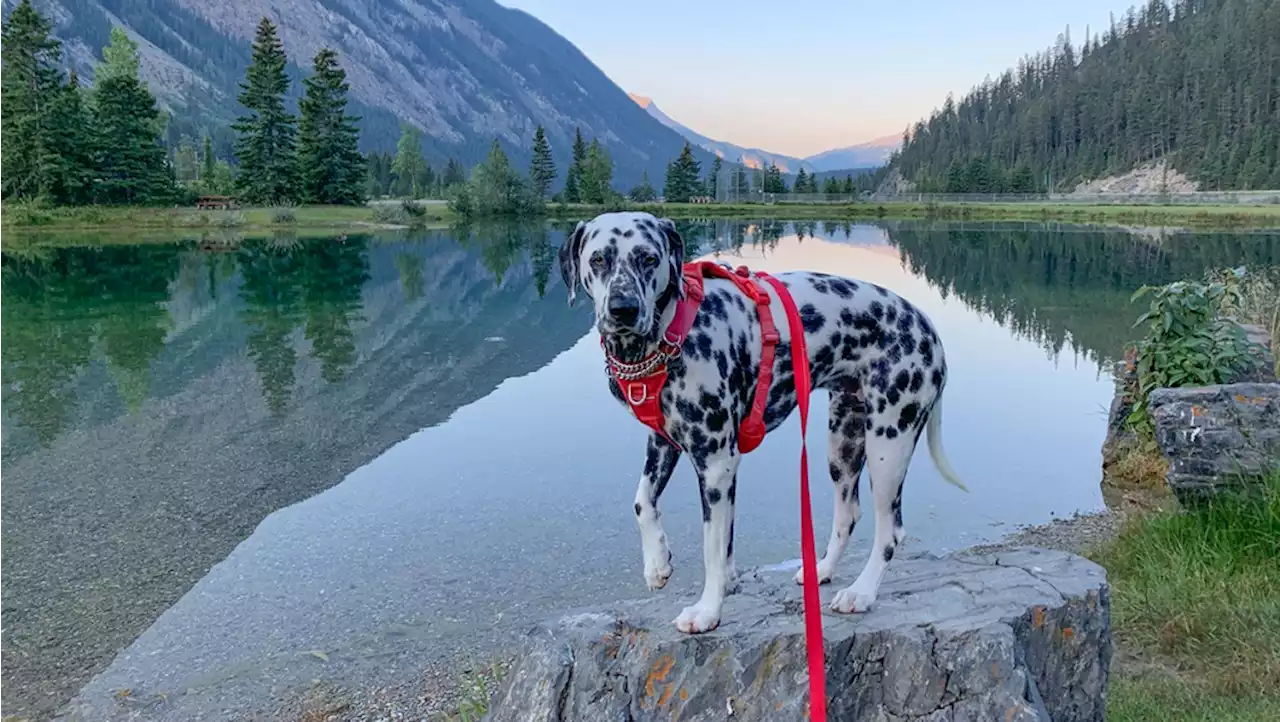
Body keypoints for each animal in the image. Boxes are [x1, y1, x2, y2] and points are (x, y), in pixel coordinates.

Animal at [555, 208, 962, 632]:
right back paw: (821, 571)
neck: (673, 333)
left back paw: (861, 593)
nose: (623, 309)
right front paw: (658, 563)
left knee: (890, 531)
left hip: (888, 445)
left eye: (649, 258)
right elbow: (644, 502)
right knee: (848, 513)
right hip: (844, 446)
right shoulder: (666, 444)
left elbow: (712, 549)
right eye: (598, 259)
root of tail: (927, 327)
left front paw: (707, 610)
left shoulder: (716, 463)